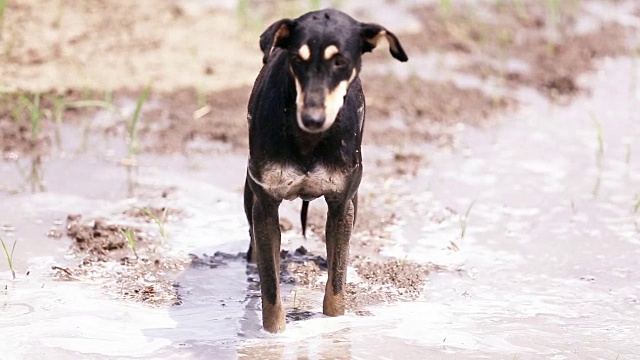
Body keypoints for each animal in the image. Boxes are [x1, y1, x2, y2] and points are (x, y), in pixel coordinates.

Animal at [242, 7, 408, 332]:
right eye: (297, 59)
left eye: (340, 61)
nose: (313, 118)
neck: (309, 141)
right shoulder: (265, 205)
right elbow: (271, 292)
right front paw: (274, 335)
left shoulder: (342, 206)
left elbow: (336, 286)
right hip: (249, 195)